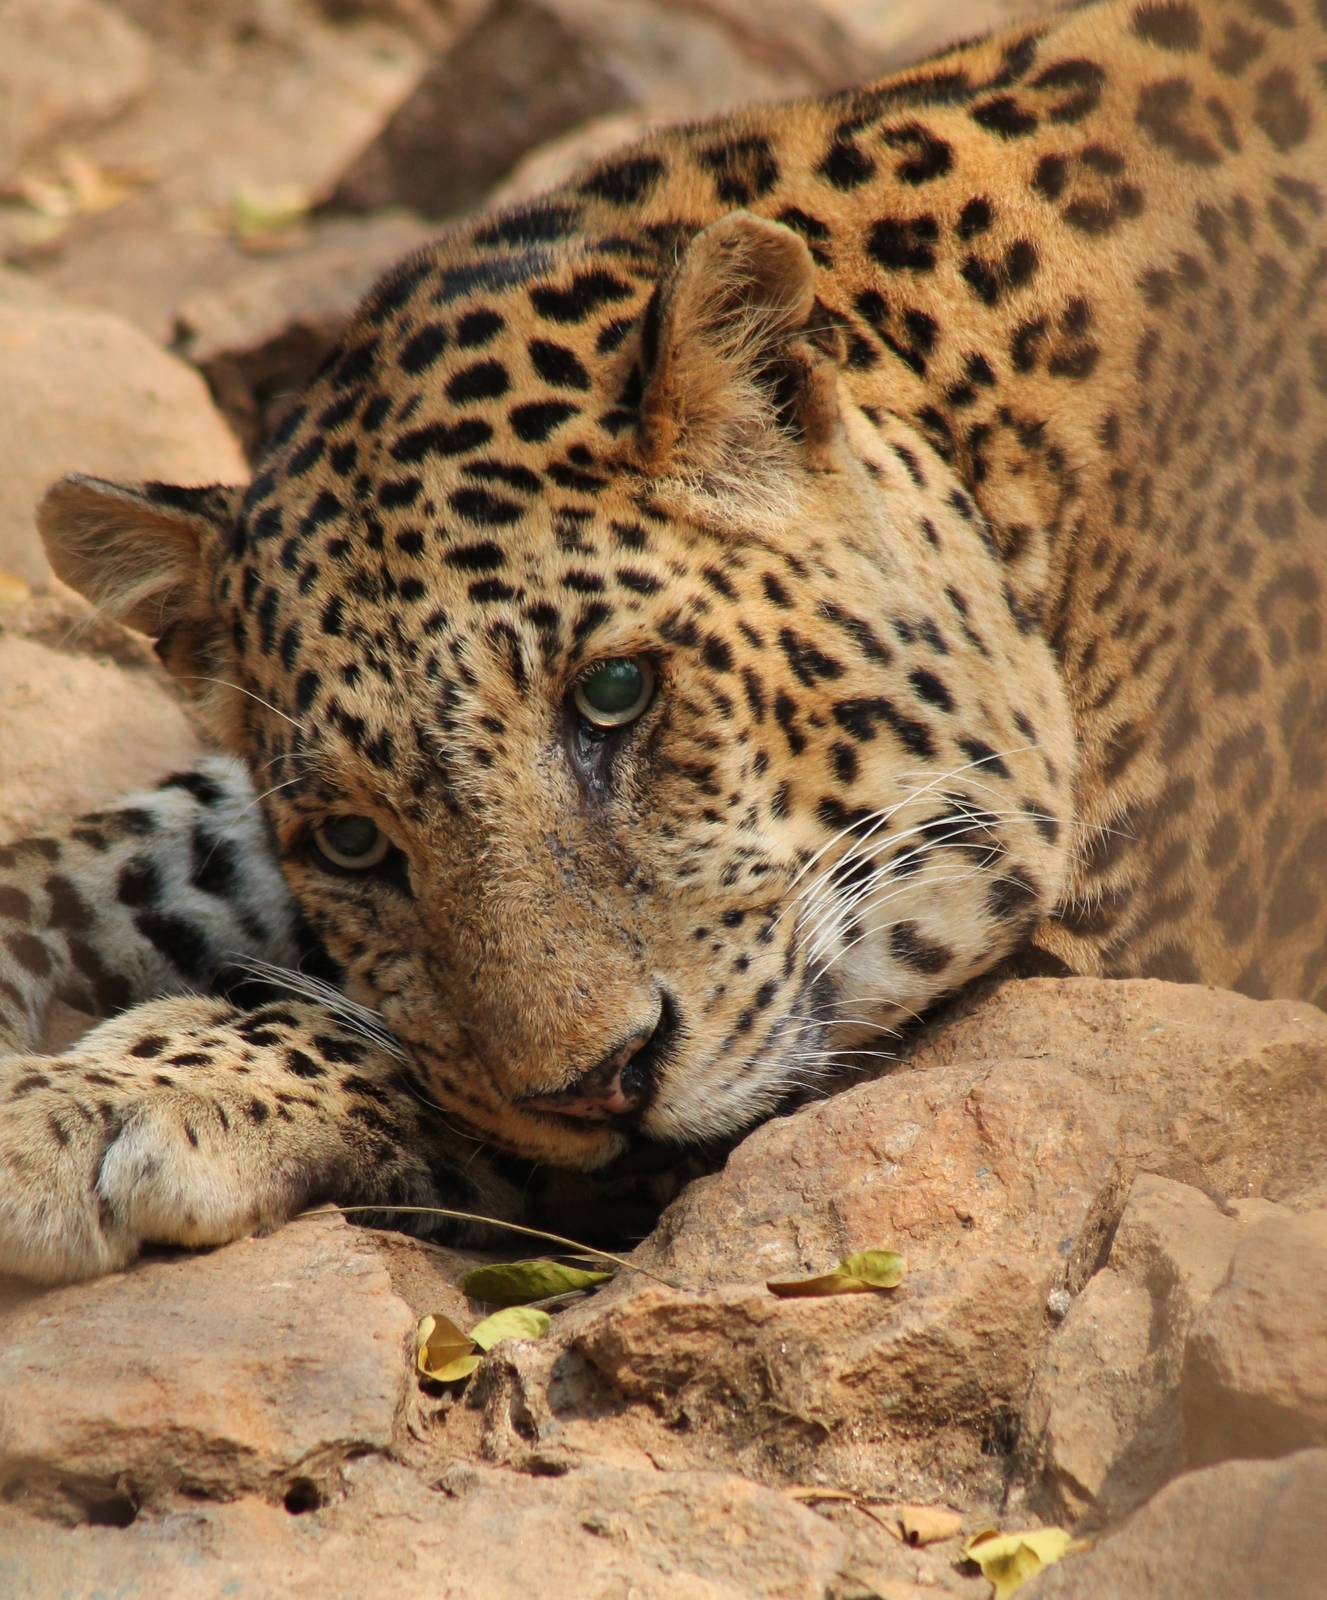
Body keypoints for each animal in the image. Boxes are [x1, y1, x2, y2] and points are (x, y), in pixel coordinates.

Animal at [1, 0, 1324, 1285]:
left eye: (617, 693)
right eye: (350, 840)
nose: (599, 1087)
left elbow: (401, 1052)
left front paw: (116, 1096)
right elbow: (134, 845)